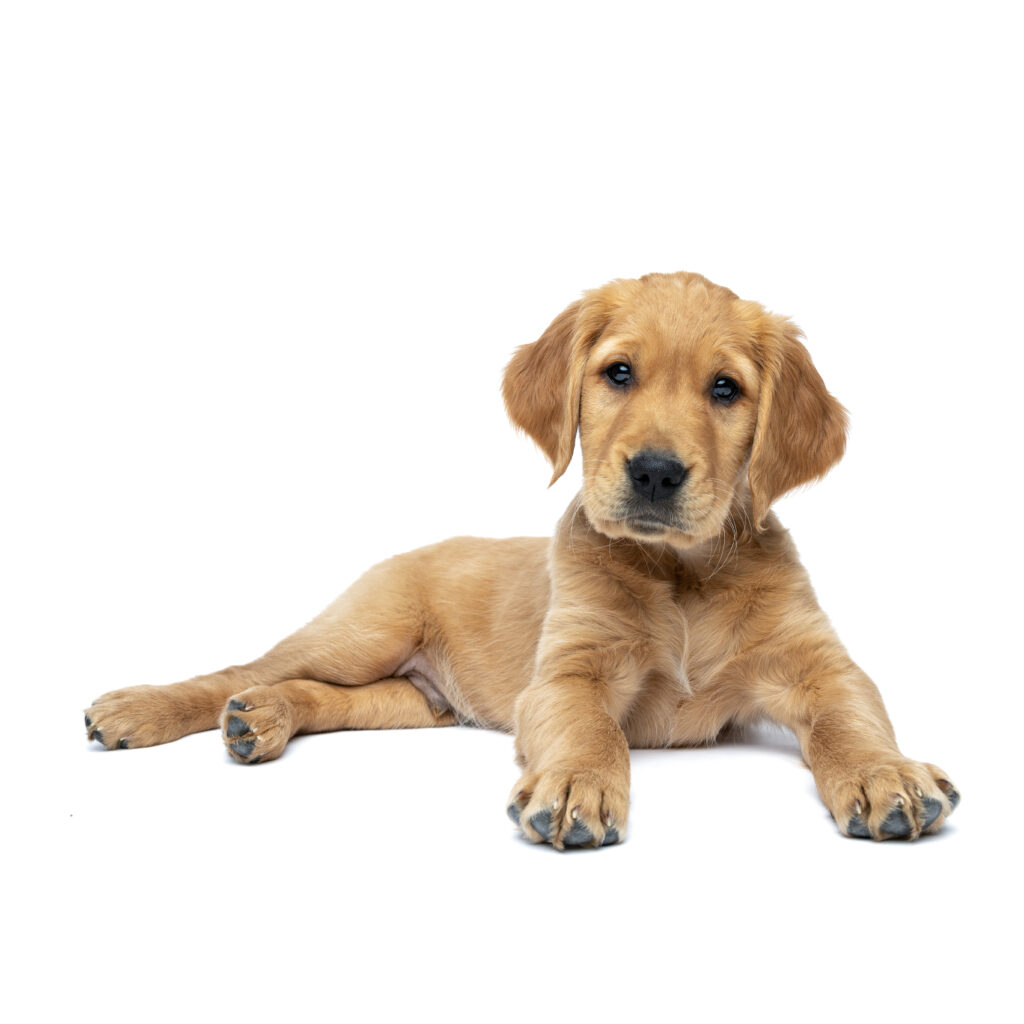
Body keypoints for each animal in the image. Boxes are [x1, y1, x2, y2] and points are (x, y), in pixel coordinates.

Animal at [86, 272, 958, 847]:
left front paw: (886, 773)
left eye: (725, 389)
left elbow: (851, 719)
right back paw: (142, 709)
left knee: (317, 696)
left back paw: (261, 721)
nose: (655, 473)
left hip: (417, 701)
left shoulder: (820, 666)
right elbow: (590, 729)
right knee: (243, 670)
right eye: (617, 373)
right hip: (365, 631)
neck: (680, 572)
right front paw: (576, 785)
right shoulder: (570, 670)